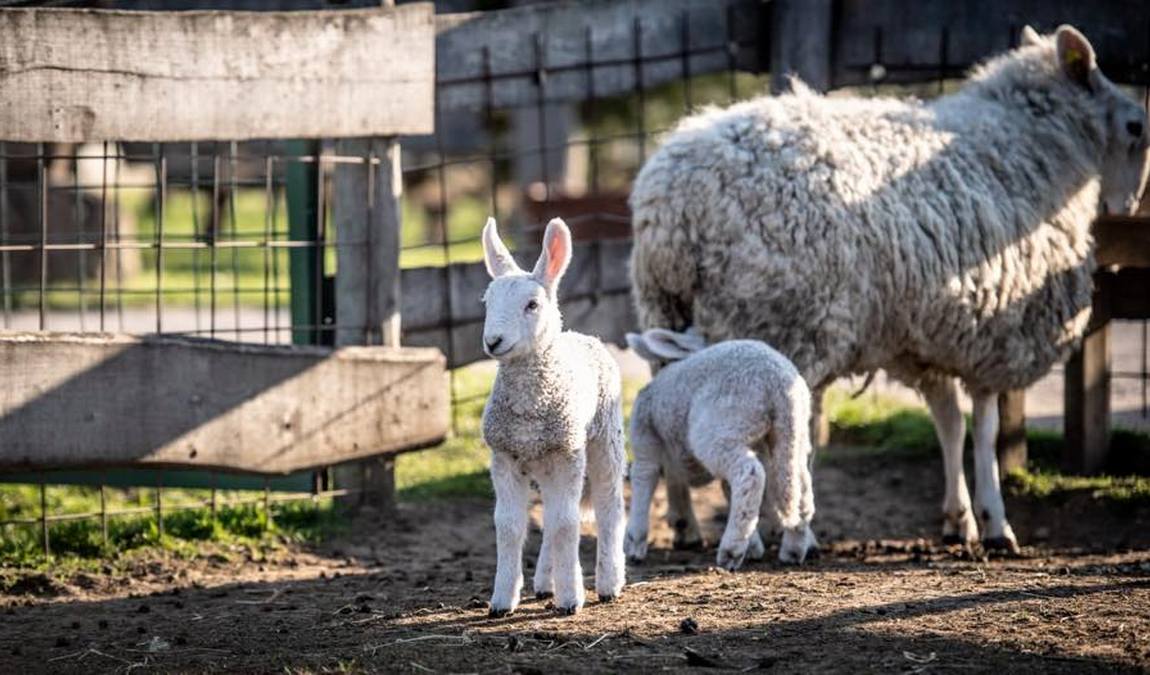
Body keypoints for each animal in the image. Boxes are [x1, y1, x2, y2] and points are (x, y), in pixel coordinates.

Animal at [476, 216, 625, 616]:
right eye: (487, 302)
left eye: (532, 305)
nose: (493, 341)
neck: (529, 409)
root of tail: (582, 336)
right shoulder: (504, 456)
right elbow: (509, 526)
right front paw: (501, 600)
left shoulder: (568, 453)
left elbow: (566, 523)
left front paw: (572, 598)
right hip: (543, 461)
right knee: (550, 515)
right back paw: (546, 582)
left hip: (605, 437)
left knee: (608, 506)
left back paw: (608, 583)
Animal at [621, 328, 818, 570]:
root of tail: (778, 385)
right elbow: (728, 490)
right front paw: (753, 547)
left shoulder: (644, 440)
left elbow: (643, 481)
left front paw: (633, 543)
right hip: (789, 437)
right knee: (799, 486)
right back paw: (793, 550)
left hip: (721, 427)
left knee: (751, 474)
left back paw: (731, 551)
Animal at [630, 26, 1150, 554]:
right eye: (1136, 128)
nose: (1126, 208)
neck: (1041, 147)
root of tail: (675, 204)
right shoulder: (992, 333)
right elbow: (984, 428)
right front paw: (994, 520)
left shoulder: (926, 336)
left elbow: (949, 422)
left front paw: (958, 517)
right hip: (778, 318)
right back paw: (778, 535)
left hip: (665, 307)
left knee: (673, 402)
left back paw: (689, 523)